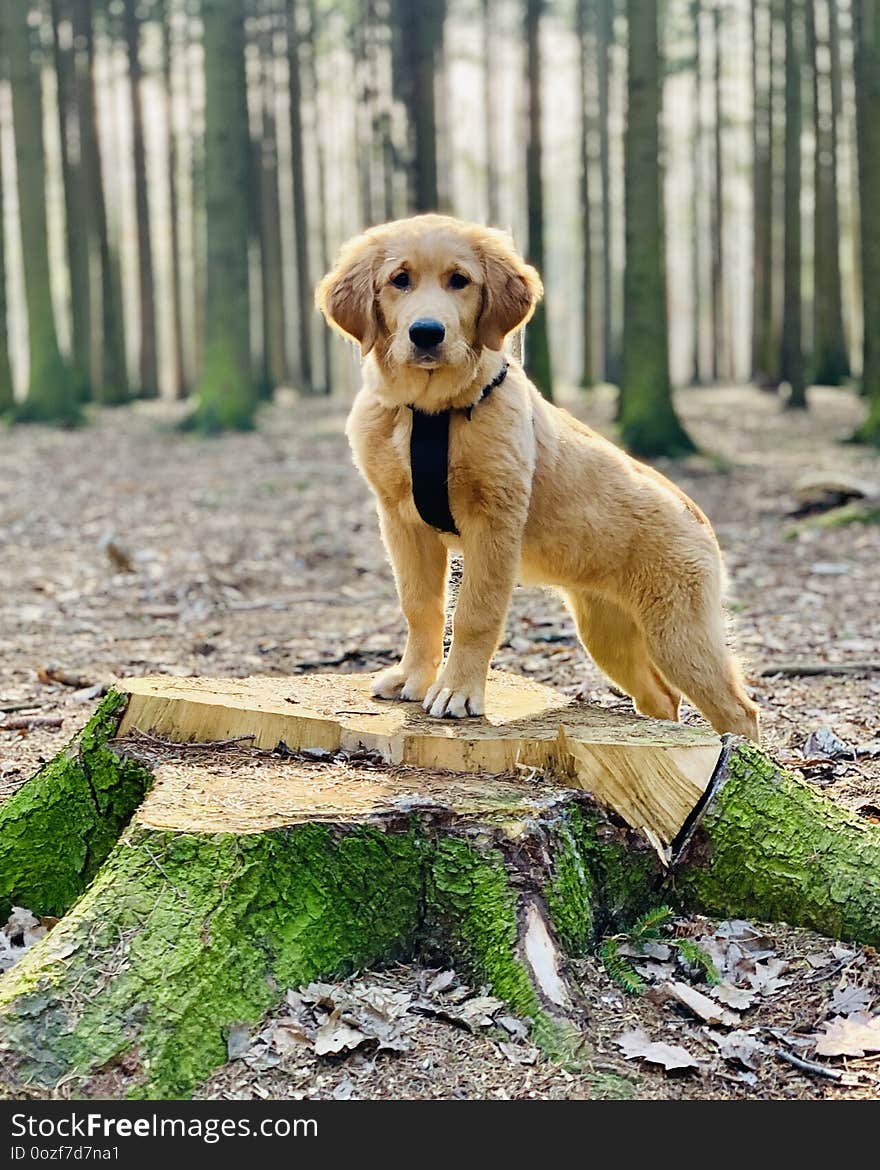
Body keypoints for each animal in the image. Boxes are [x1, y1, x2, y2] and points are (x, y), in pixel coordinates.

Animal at [318, 212, 762, 739]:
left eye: (459, 281)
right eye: (399, 280)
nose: (427, 333)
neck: (430, 413)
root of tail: (695, 513)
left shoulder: (494, 522)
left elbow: (475, 614)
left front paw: (457, 692)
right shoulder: (401, 521)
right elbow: (419, 605)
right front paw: (413, 677)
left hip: (678, 630)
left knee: (739, 708)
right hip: (607, 630)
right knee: (662, 697)